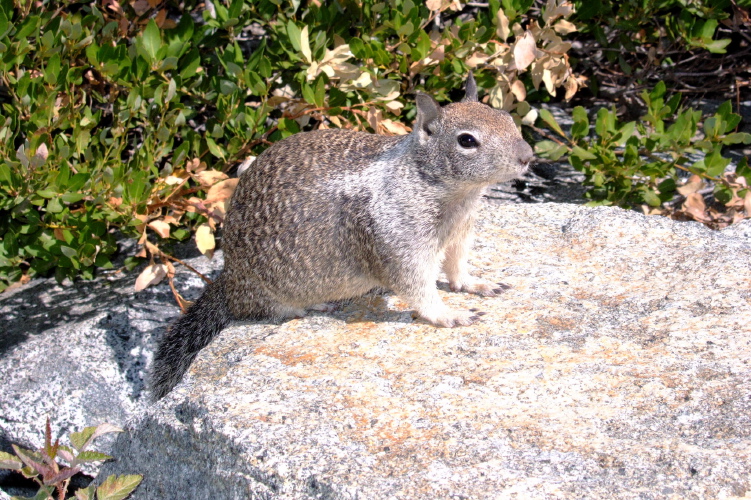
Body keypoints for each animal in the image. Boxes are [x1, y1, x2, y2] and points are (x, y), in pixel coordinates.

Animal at [150, 74, 532, 400]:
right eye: (467, 140)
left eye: (507, 118)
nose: (528, 156)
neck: (451, 194)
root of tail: (228, 281)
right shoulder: (398, 243)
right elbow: (417, 288)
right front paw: (448, 314)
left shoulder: (460, 233)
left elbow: (457, 267)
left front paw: (476, 284)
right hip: (270, 295)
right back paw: (315, 304)